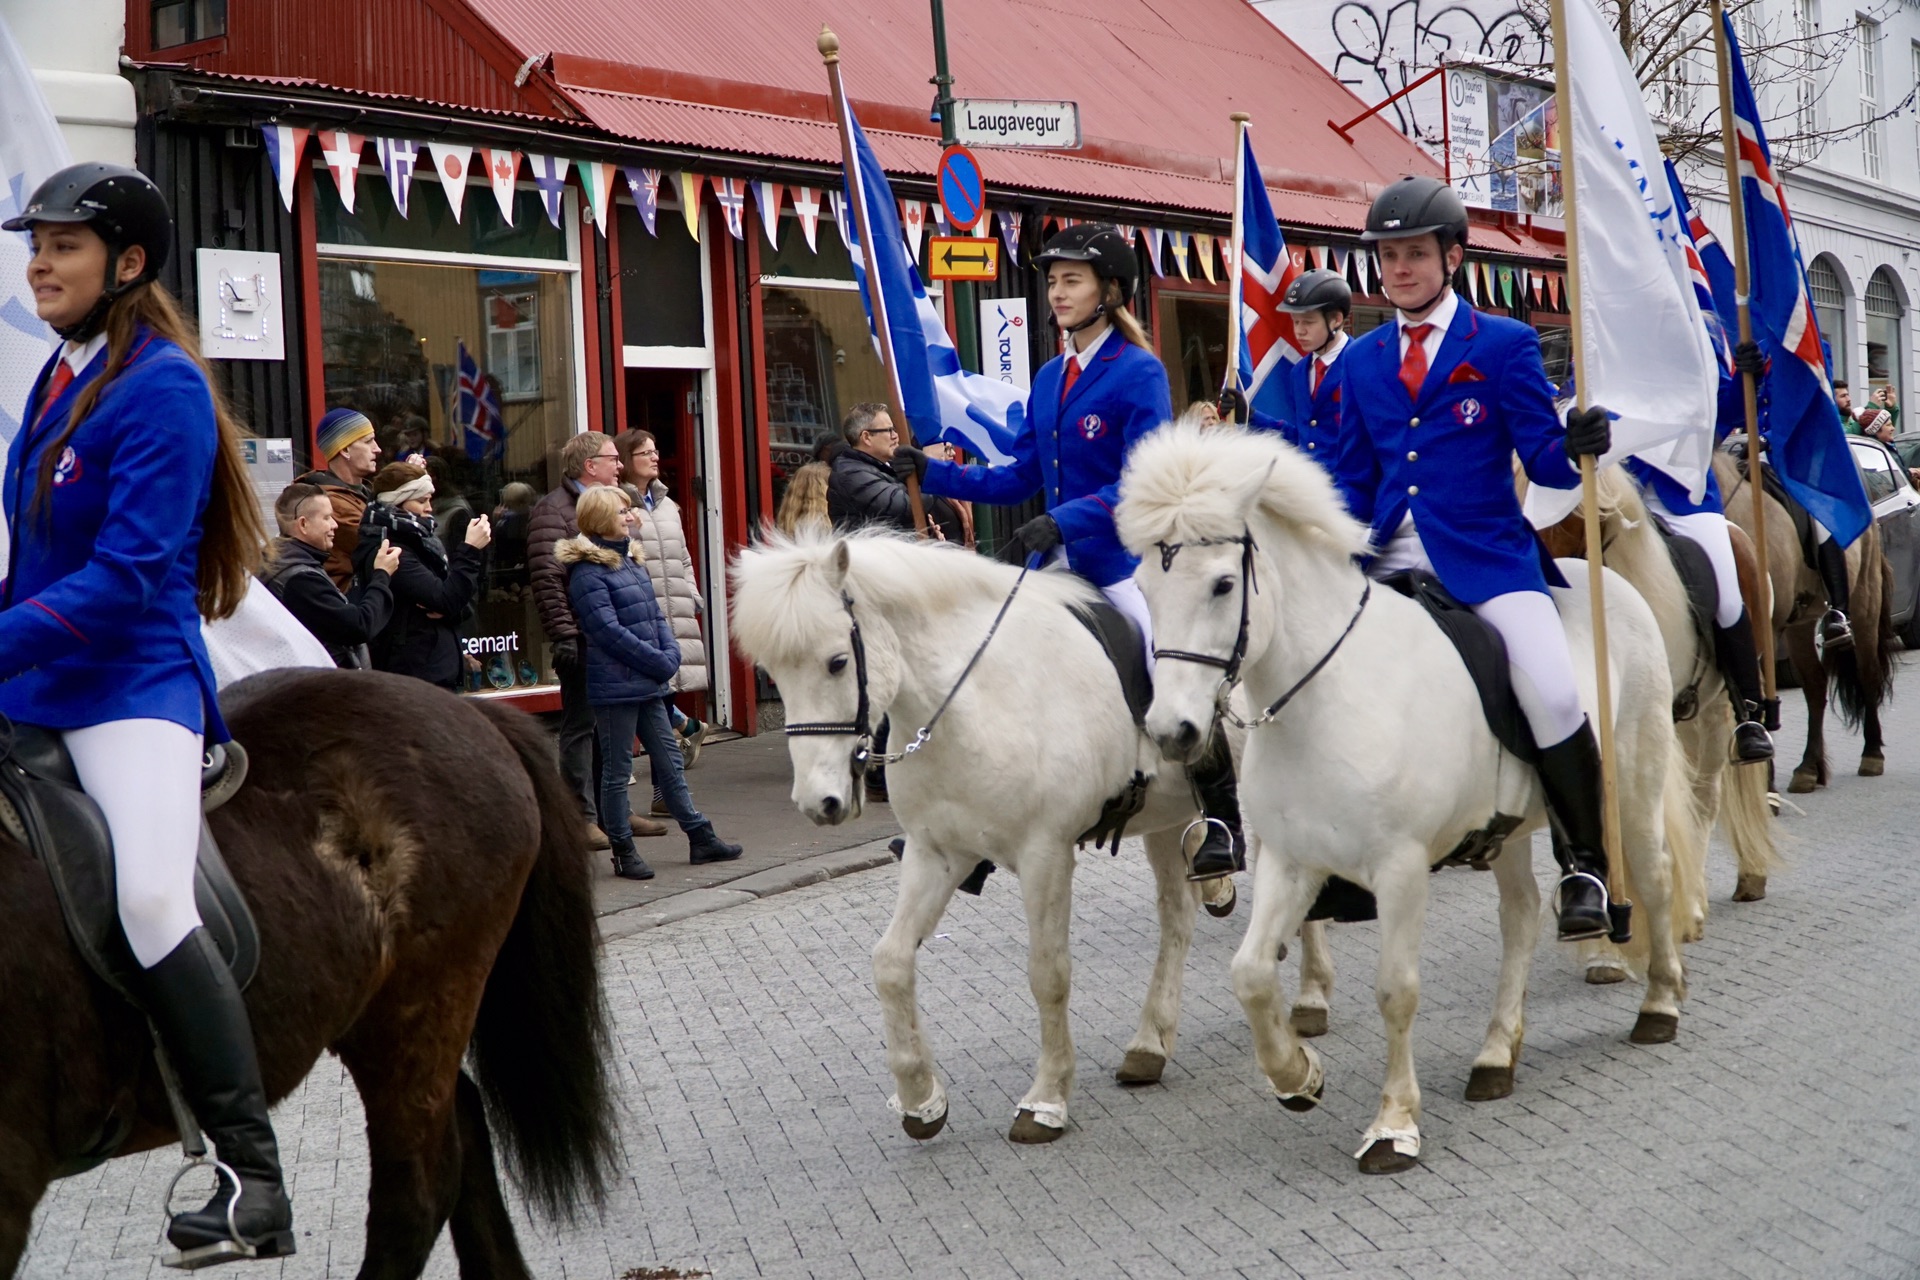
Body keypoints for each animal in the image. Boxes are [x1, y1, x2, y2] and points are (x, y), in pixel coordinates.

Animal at [733, 525, 1320, 1143]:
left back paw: (1310, 1002)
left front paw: (1046, 1099)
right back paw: (1150, 1045)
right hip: (1165, 819)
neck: (979, 697)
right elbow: (890, 963)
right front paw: (920, 1098)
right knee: (1176, 920)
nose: (817, 804)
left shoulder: (1046, 855)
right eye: (774, 673)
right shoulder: (935, 853)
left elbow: (1048, 973)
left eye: (838, 662)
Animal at [1121, 420, 1704, 1174]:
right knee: (1520, 917)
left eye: (1223, 584)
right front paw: (1297, 1076)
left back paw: (1659, 1003)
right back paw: (1496, 1054)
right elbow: (1249, 973)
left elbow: (1396, 990)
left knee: (1655, 876)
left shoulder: (1399, 868)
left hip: (1633, 777)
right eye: (1144, 586)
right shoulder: (1291, 858)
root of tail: (1606, 583)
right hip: (1507, 829)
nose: (1173, 732)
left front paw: (1393, 1124)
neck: (1324, 694)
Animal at [1720, 450, 1896, 790]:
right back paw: (1809, 768)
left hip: (1864, 602)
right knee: (1815, 685)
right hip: (1799, 628)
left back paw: (1872, 754)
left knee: (1867, 672)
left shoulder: (1763, 630)